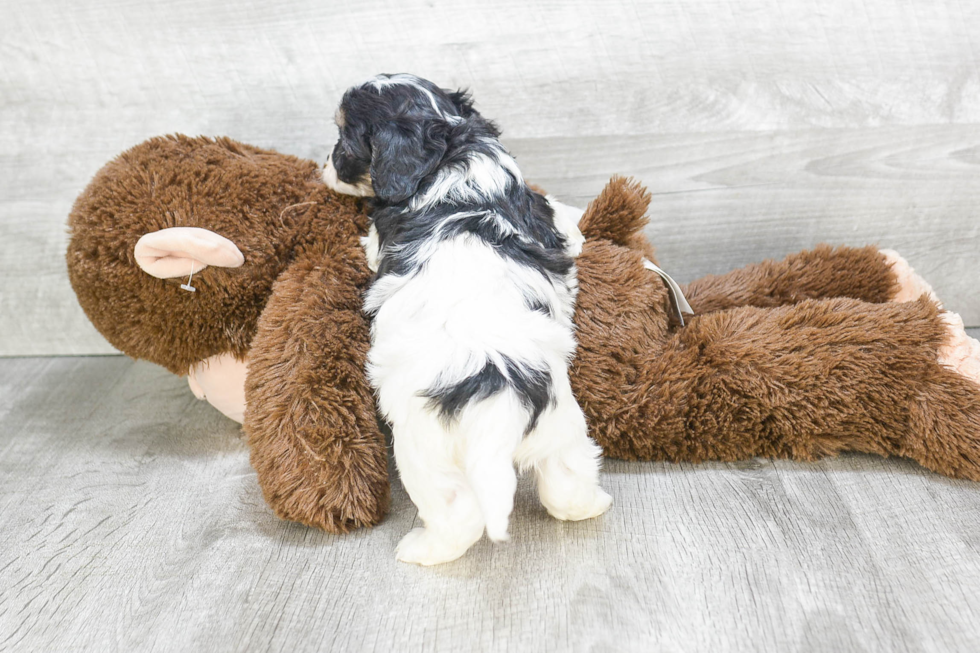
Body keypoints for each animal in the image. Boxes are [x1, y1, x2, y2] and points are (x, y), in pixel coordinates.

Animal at [326, 72, 608, 564]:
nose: (324, 164)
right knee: (567, 481)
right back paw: (594, 505)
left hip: (424, 452)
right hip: (561, 428)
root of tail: (496, 398)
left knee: (458, 514)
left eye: (344, 139)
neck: (449, 156)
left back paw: (422, 549)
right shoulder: (541, 213)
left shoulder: (381, 232)